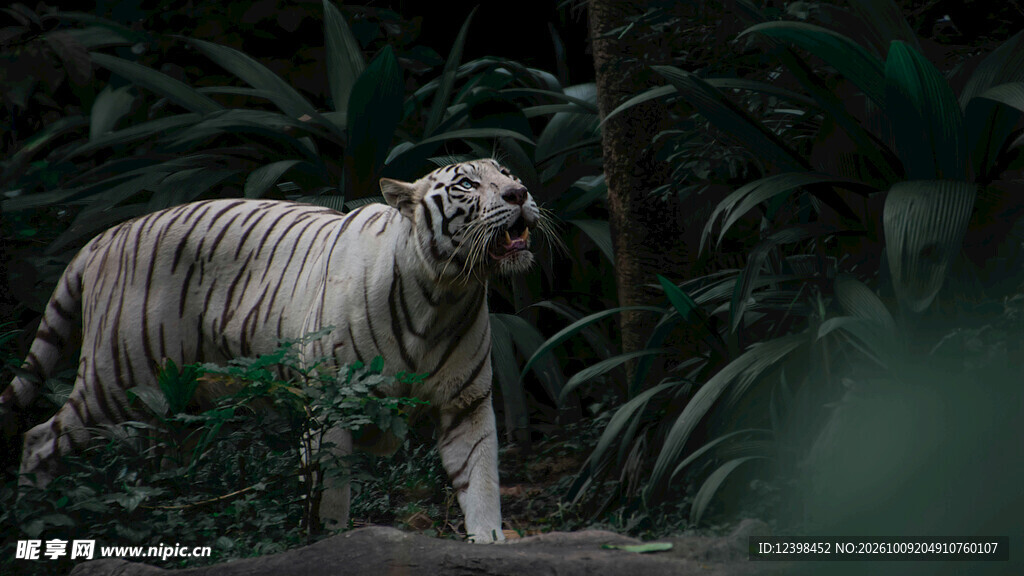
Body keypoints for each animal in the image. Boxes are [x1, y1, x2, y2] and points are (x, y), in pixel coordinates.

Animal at [0, 158, 545, 542]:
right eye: (467, 185)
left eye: (508, 174)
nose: (520, 193)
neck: (446, 292)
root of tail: (102, 237)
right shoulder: (331, 408)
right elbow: (329, 498)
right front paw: (329, 544)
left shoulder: (467, 404)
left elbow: (481, 484)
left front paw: (490, 543)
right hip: (118, 379)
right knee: (40, 437)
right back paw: (32, 520)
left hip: (170, 405)